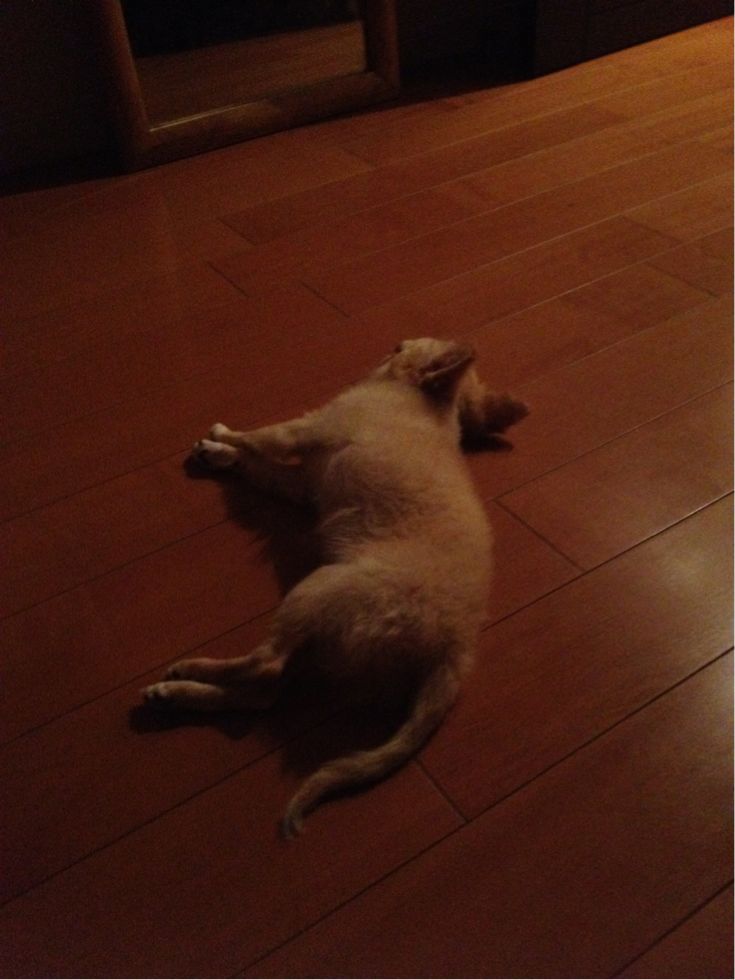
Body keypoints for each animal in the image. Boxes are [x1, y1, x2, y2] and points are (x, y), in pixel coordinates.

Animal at [143, 338, 527, 835]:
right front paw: (221, 456)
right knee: (265, 692)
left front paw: (222, 436)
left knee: (263, 666)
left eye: (413, 344)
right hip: (329, 644)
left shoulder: (306, 429)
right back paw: (178, 696)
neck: (428, 404)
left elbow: (260, 438)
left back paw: (187, 672)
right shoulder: (302, 482)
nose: (396, 340)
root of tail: (455, 649)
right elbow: (259, 466)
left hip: (317, 592)